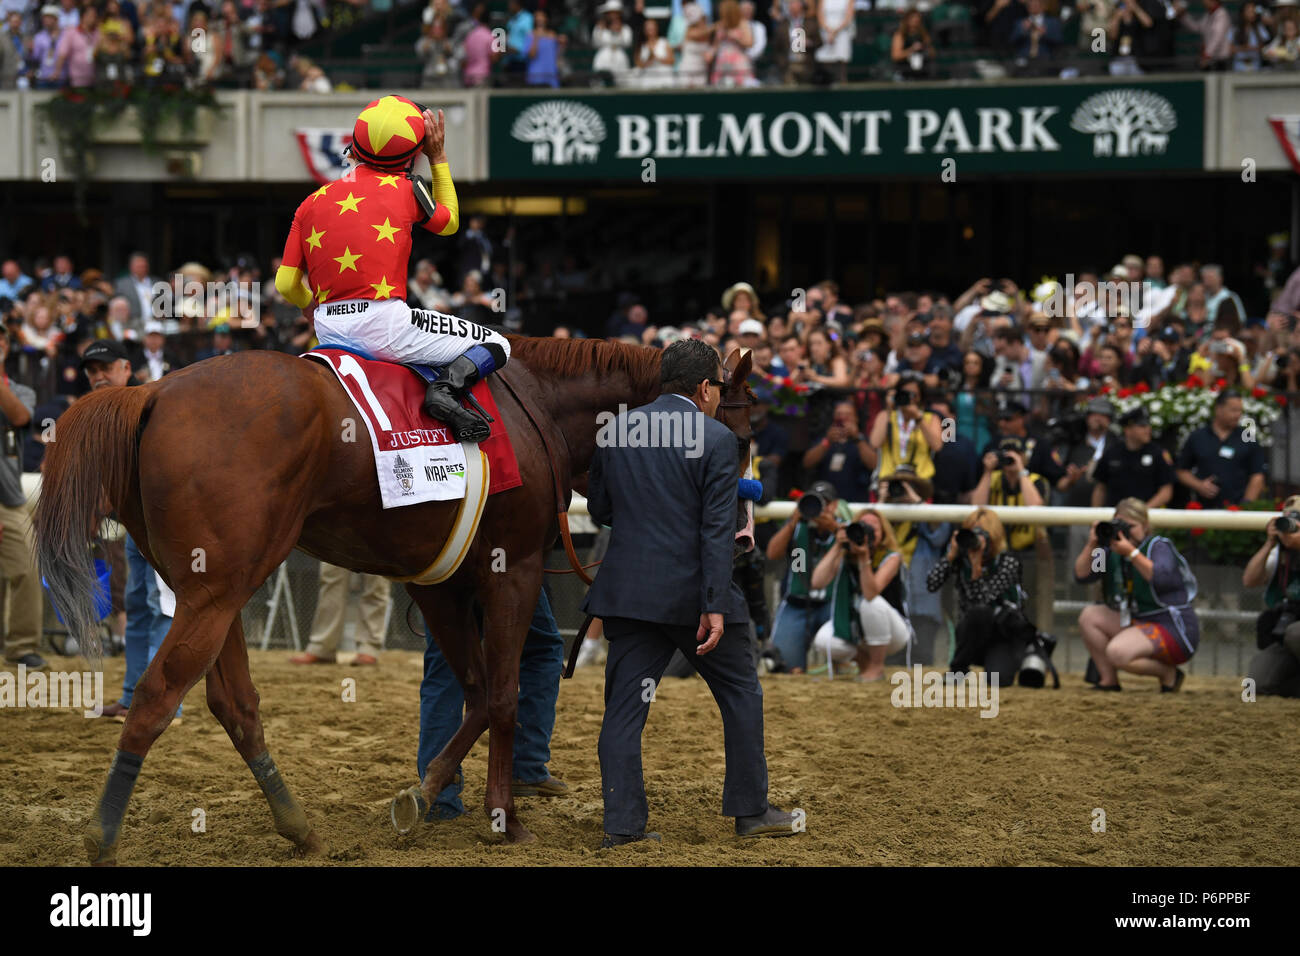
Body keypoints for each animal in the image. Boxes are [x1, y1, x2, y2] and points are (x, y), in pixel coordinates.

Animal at [32, 338, 754, 868]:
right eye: (746, 434)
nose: (744, 540)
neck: (538, 408)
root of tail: (151, 390)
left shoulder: (438, 583)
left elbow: (473, 692)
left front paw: (427, 793)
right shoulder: (513, 569)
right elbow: (501, 693)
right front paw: (503, 817)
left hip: (215, 588)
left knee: (233, 703)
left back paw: (299, 827)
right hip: (215, 590)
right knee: (159, 695)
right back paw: (102, 836)